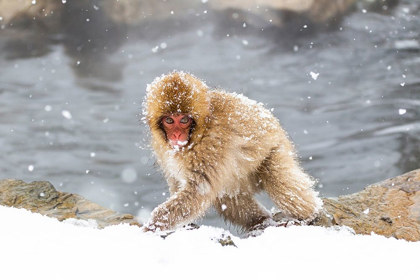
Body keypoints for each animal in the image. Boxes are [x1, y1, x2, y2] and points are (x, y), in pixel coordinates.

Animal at [143, 71, 324, 233]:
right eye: (169, 120)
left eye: (184, 120)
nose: (176, 135)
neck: (199, 133)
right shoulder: (161, 148)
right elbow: (179, 182)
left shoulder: (211, 145)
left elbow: (199, 189)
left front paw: (154, 225)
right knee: (226, 195)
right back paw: (261, 221)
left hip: (276, 148)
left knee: (276, 177)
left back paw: (308, 215)